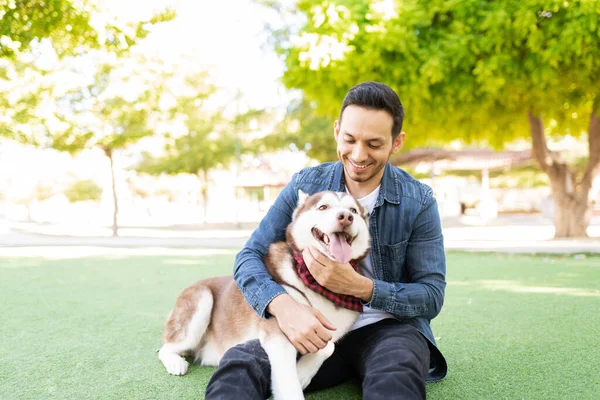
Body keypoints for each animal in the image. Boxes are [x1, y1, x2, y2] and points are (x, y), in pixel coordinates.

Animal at [159, 191, 370, 400]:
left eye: (353, 210)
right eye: (323, 207)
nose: (345, 217)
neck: (320, 285)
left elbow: (328, 346)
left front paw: (302, 373)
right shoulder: (280, 331)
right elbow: (289, 383)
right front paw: (297, 379)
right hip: (202, 300)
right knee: (165, 347)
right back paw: (176, 362)